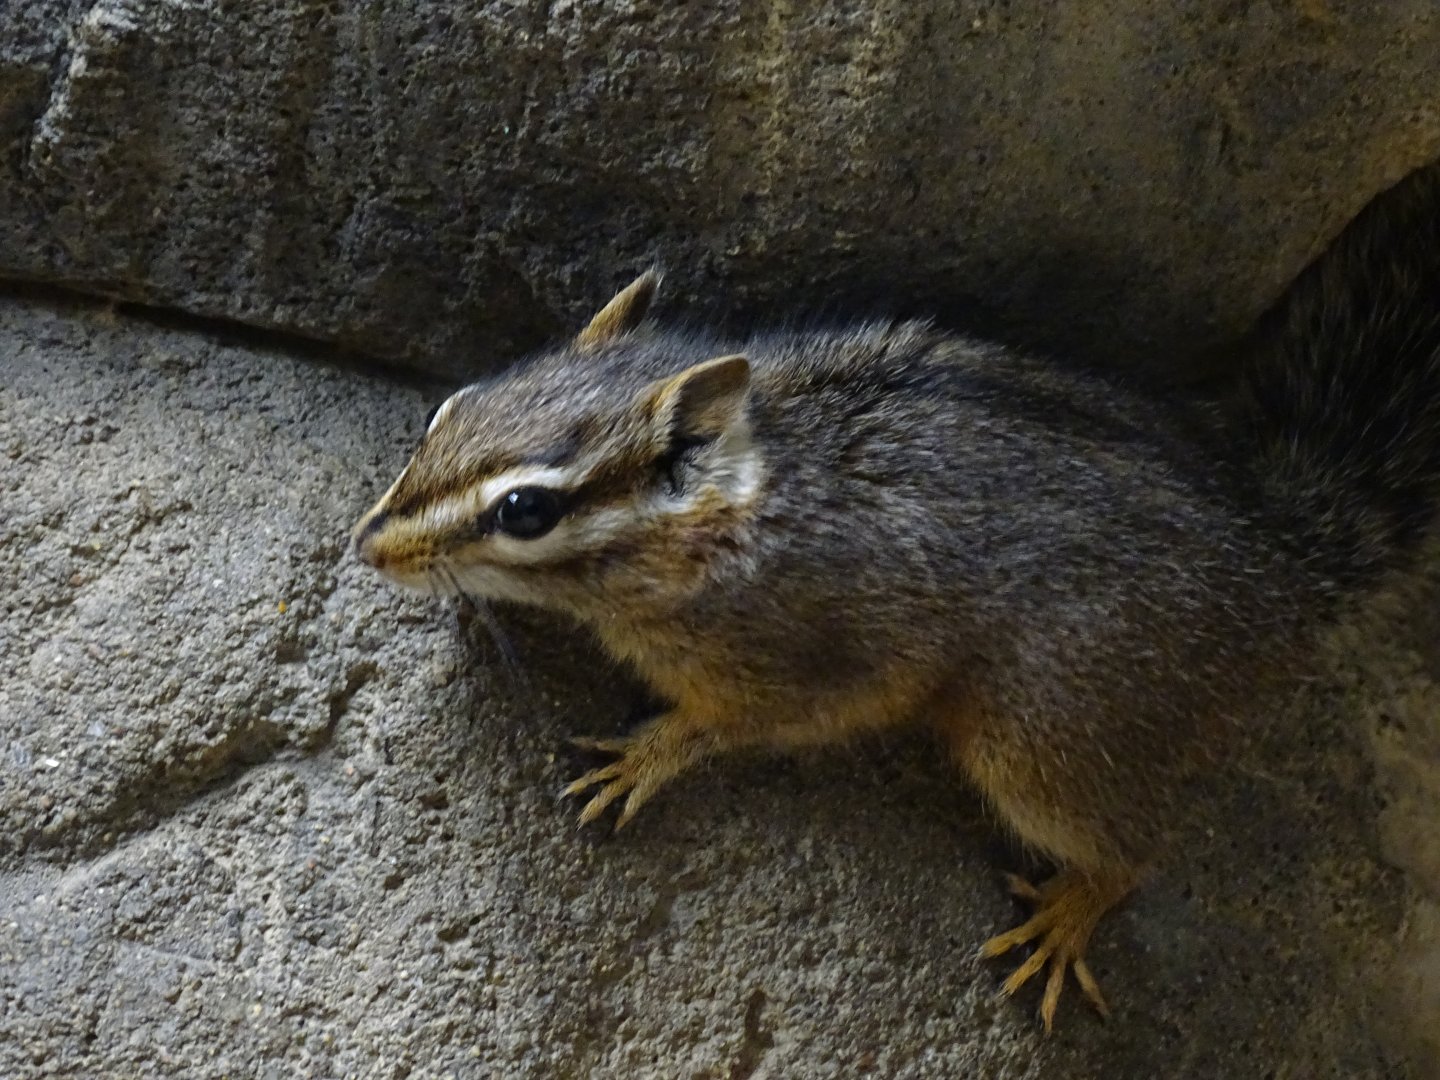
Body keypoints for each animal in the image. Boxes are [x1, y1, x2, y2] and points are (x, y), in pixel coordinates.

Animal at [351, 160, 1440, 1031]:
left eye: (526, 510)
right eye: (454, 407)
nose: (369, 546)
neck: (729, 520)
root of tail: (1289, 559)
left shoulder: (805, 669)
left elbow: (726, 725)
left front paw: (645, 756)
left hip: (1038, 739)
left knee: (1137, 853)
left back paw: (1067, 918)